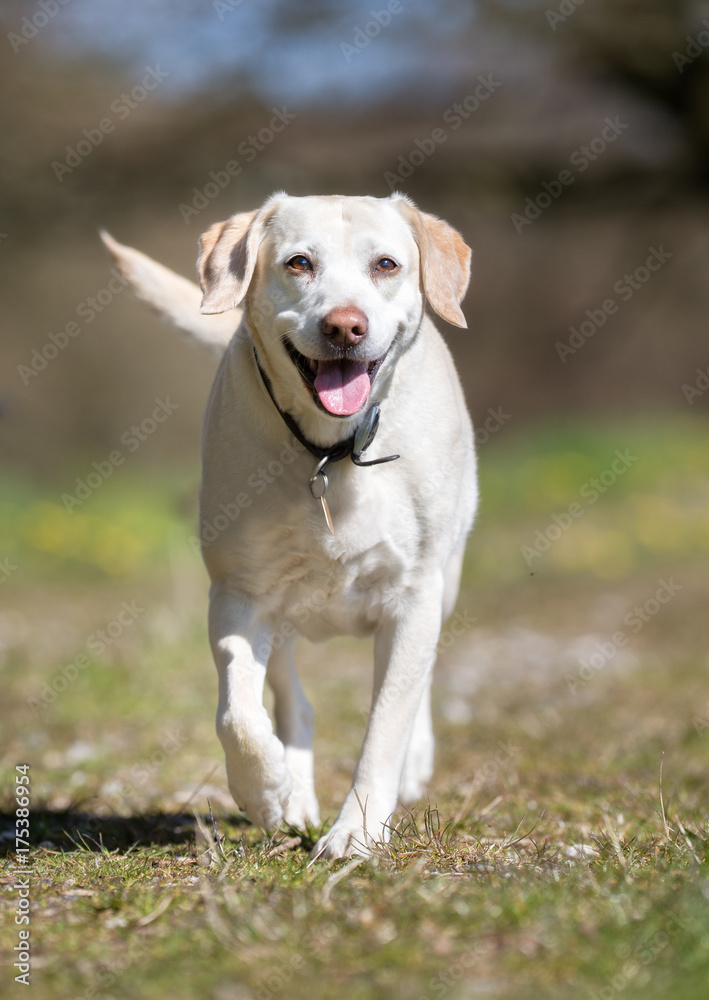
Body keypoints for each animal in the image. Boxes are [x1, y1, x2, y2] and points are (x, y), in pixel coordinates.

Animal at [102, 193, 478, 860]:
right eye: (299, 262)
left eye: (386, 264)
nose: (344, 326)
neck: (331, 453)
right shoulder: (238, 595)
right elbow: (238, 714)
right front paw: (266, 792)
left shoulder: (415, 595)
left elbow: (387, 722)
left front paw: (356, 831)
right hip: (282, 616)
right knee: (289, 699)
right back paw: (294, 793)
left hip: (447, 578)